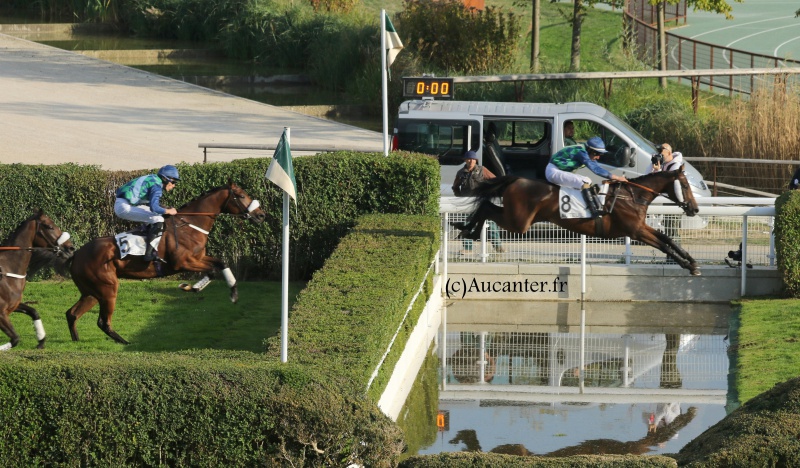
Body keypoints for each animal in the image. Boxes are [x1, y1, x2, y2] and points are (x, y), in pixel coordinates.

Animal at [0, 210, 76, 350]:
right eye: (50, 226)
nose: (70, 247)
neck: (7, 269)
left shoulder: (13, 305)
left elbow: (34, 312)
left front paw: (41, 341)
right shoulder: (1, 313)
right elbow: (15, 339)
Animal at [63, 181, 268, 346]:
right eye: (241, 195)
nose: (261, 215)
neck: (190, 225)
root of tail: (77, 255)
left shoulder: (198, 258)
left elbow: (221, 264)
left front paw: (232, 293)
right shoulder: (183, 263)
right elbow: (211, 270)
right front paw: (191, 287)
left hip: (92, 292)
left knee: (72, 313)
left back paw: (76, 342)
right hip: (107, 289)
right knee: (103, 322)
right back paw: (125, 342)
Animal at [456, 165, 700, 276]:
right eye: (685, 185)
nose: (695, 208)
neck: (632, 196)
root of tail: (516, 179)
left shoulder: (640, 226)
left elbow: (668, 239)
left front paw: (691, 261)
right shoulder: (635, 230)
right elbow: (663, 245)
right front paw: (688, 265)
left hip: (517, 218)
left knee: (487, 207)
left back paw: (466, 229)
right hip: (519, 222)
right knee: (487, 209)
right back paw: (466, 230)